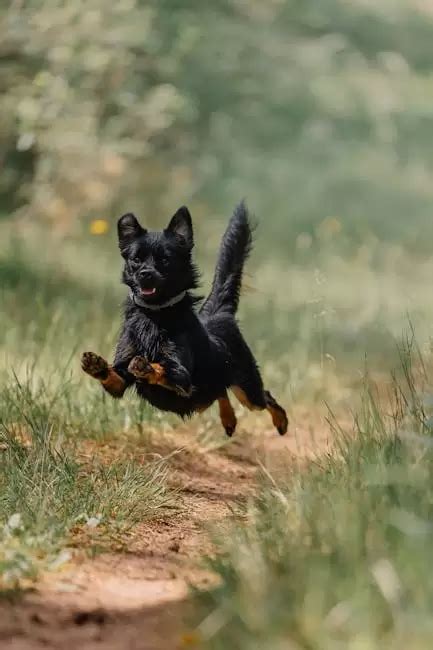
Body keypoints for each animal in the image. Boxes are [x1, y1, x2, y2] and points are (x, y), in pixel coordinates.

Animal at [81, 202, 286, 436]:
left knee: (265, 397)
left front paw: (146, 366)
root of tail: (219, 314)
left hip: (249, 390)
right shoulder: (121, 379)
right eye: (136, 260)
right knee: (220, 392)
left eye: (165, 259)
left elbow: (163, 368)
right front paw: (96, 365)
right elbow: (114, 374)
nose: (145, 273)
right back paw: (229, 419)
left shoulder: (181, 377)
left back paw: (281, 421)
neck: (154, 314)